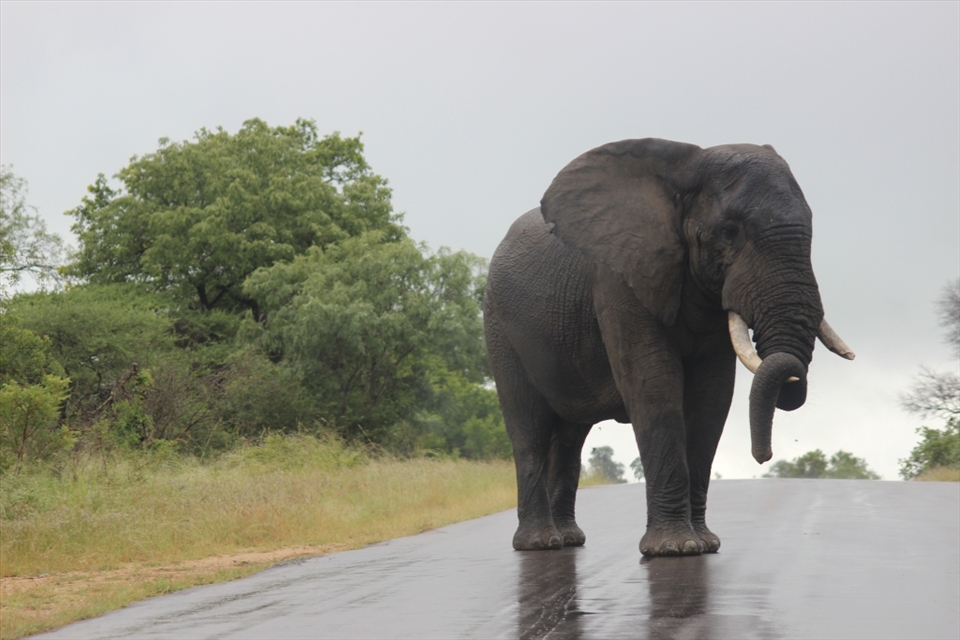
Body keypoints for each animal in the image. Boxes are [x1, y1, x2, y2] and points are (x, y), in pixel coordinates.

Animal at [483, 139, 854, 556]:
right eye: (729, 232)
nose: (764, 456)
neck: (684, 167)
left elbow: (712, 397)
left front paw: (705, 544)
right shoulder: (619, 280)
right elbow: (655, 385)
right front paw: (675, 549)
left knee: (569, 439)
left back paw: (569, 540)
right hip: (500, 327)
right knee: (529, 429)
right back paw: (540, 543)